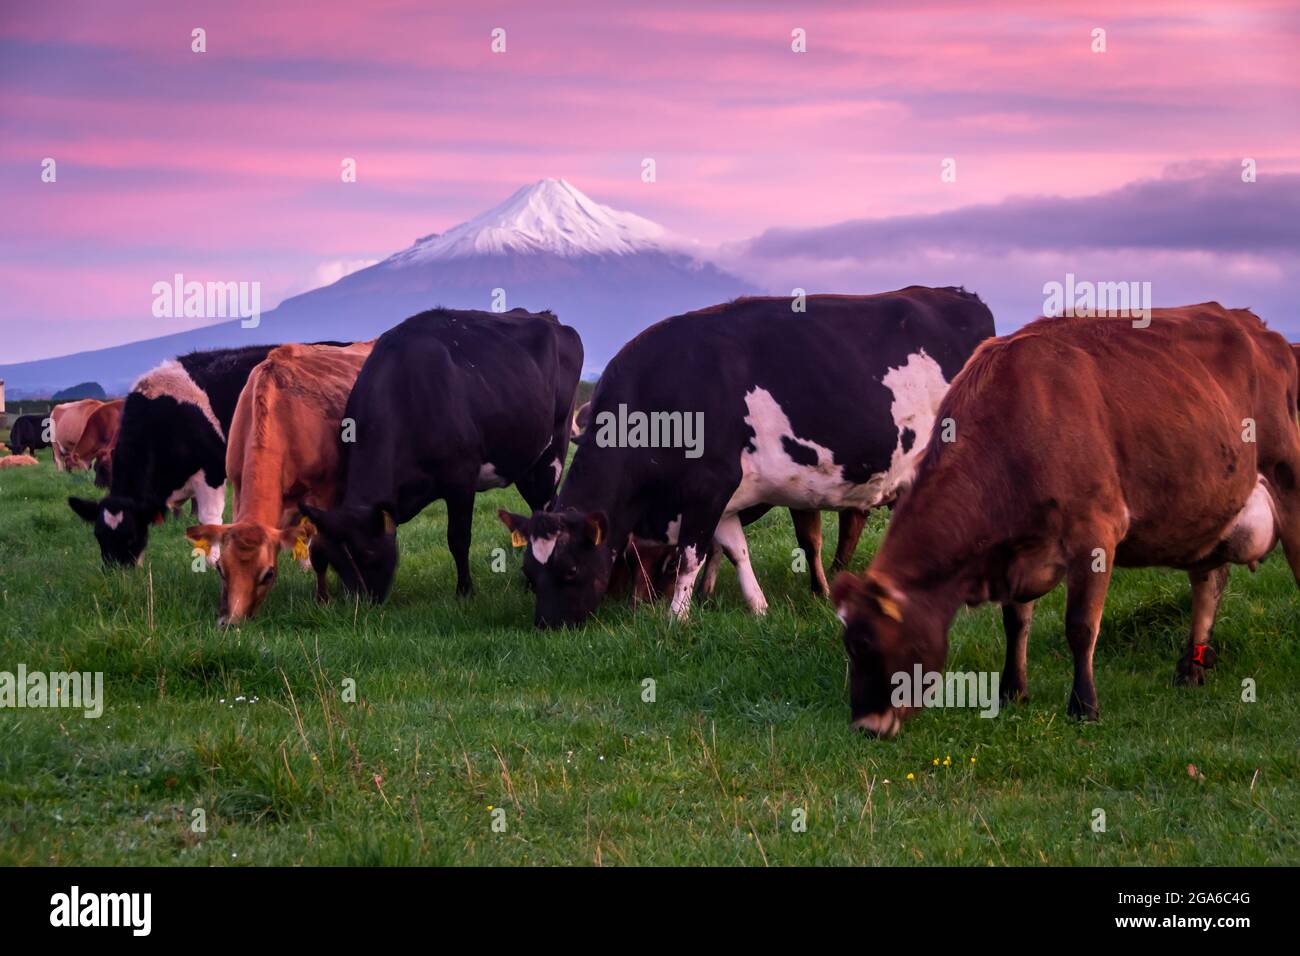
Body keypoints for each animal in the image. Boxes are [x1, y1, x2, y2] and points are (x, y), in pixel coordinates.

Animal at [67, 345, 283, 564]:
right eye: (99, 536)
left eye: (131, 536)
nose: (114, 569)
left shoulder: (211, 471)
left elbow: (210, 519)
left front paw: (213, 564)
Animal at [185, 343, 374, 629]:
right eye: (220, 569)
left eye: (268, 574)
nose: (232, 623)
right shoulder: (237, 487)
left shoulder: (324, 494)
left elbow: (319, 548)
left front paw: (322, 599)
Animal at [299, 310, 585, 600]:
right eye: (336, 562)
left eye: (368, 554)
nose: (363, 603)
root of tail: (546, 316)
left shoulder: (461, 479)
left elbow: (458, 539)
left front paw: (464, 591)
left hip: (551, 453)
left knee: (543, 508)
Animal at [496, 287, 993, 632]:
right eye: (529, 573)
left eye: (571, 570)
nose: (548, 627)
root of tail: (957, 295)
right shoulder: (724, 495)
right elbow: (735, 548)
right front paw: (758, 606)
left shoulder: (708, 486)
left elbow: (692, 556)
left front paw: (676, 617)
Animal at [832, 306, 1300, 738]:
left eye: (865, 644)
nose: (865, 727)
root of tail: (1263, 330)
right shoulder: (1016, 551)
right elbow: (1016, 623)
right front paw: (1012, 690)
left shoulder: (1095, 531)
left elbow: (1080, 626)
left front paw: (1084, 706)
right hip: (1210, 507)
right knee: (1209, 581)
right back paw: (1190, 672)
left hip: (1288, 482)